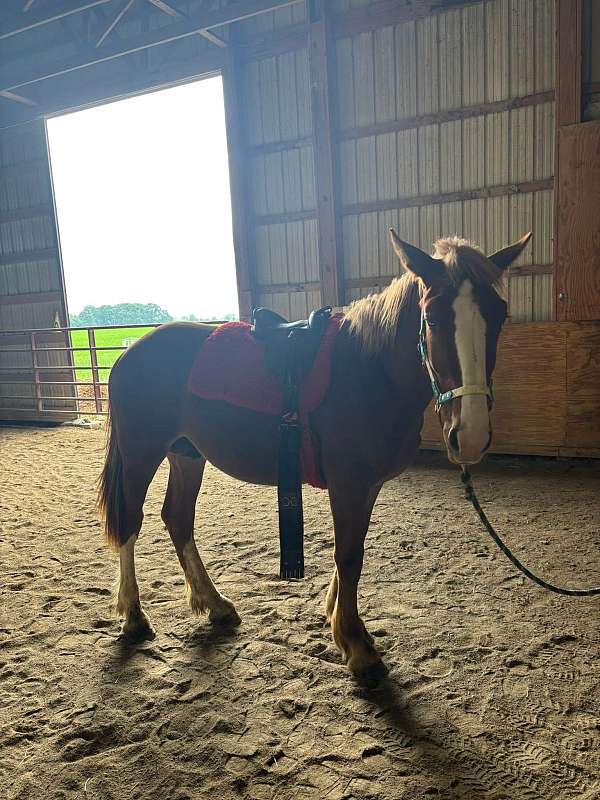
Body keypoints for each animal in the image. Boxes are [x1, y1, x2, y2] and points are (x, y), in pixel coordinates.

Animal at [97, 229, 531, 678]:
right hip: (141, 453)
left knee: (178, 519)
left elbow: (351, 551)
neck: (368, 370)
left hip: (186, 455)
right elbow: (349, 555)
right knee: (130, 520)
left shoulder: (367, 485)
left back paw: (215, 605)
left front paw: (338, 620)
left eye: (499, 316)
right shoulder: (349, 483)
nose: (472, 435)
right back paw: (134, 616)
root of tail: (129, 352)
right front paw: (357, 645)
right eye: (431, 318)